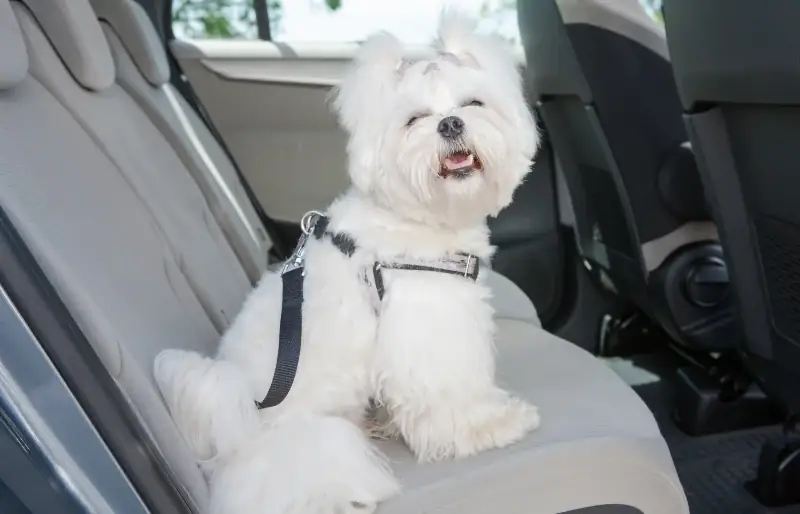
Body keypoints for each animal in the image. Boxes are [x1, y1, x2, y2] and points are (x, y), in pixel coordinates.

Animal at [153, 12, 540, 512]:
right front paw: (495, 425)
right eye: (414, 120)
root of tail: (234, 433)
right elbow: (451, 392)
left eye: (473, 103)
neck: (415, 215)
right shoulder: (429, 326)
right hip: (311, 442)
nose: (451, 124)